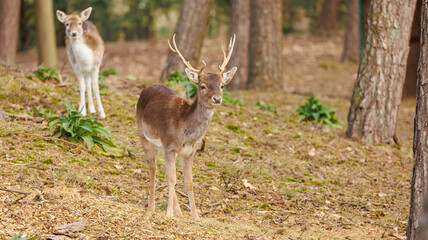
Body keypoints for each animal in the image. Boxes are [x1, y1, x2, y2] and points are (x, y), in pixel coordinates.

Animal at [136, 34, 237, 218]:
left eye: (222, 85)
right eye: (202, 86)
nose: (217, 99)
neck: (186, 134)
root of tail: (146, 89)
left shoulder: (189, 152)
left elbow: (188, 181)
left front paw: (195, 216)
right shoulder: (169, 146)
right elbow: (172, 178)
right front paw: (168, 214)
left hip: (162, 145)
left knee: (163, 169)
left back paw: (179, 212)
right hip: (144, 135)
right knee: (153, 167)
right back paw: (152, 207)